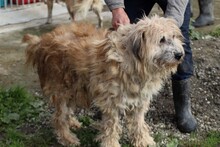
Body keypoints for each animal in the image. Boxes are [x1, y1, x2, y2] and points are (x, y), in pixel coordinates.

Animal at [22, 15, 184, 146]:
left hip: (75, 88)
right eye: (162, 39)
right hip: (62, 89)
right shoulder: (111, 104)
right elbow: (111, 128)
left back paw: (72, 123)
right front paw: (111, 144)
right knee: (58, 118)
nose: (180, 55)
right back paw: (67, 138)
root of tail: (42, 41)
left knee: (66, 113)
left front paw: (143, 141)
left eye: (174, 36)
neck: (132, 61)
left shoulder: (139, 102)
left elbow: (138, 124)